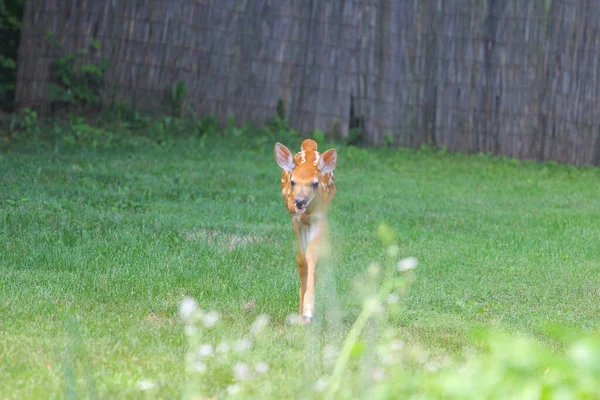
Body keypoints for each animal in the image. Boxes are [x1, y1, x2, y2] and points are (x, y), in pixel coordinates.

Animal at [276, 139, 338, 324]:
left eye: (315, 183)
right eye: (293, 182)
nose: (299, 201)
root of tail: (309, 145)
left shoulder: (320, 217)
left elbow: (312, 254)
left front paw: (309, 311)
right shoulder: (295, 219)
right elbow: (301, 259)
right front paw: (302, 312)